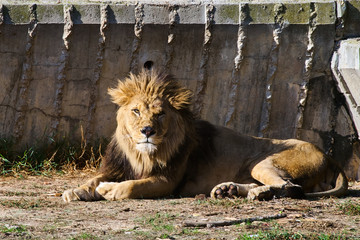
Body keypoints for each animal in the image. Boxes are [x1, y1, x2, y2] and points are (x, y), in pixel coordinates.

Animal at [62, 70, 348, 202]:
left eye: (160, 114)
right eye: (136, 111)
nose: (147, 131)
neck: (140, 154)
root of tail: (332, 158)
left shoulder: (168, 181)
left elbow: (132, 187)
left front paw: (108, 189)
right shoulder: (117, 166)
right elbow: (93, 178)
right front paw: (75, 190)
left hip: (263, 161)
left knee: (292, 187)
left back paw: (258, 194)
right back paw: (228, 189)